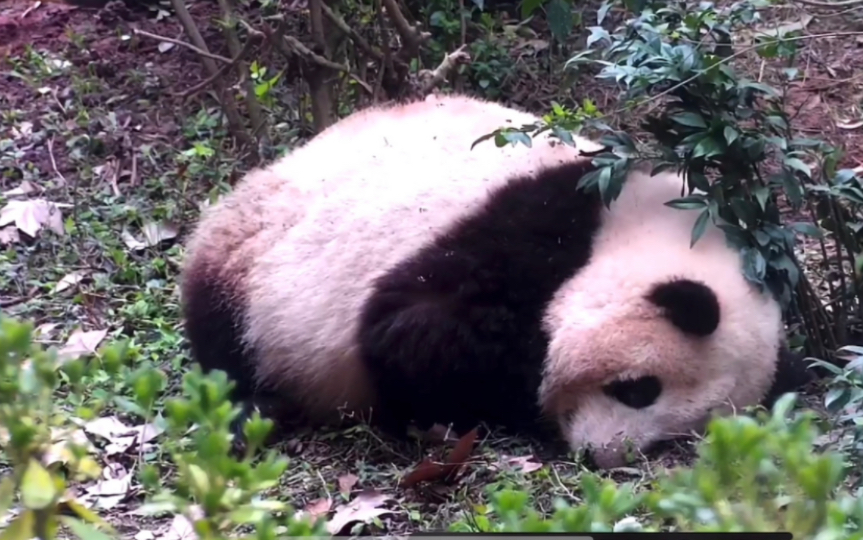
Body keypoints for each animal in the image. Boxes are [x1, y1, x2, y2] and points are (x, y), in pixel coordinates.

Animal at [179, 93, 812, 468]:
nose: (598, 455)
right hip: (255, 248)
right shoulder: (521, 228)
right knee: (221, 330)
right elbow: (410, 332)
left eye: (679, 435)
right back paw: (252, 406)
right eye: (638, 389)